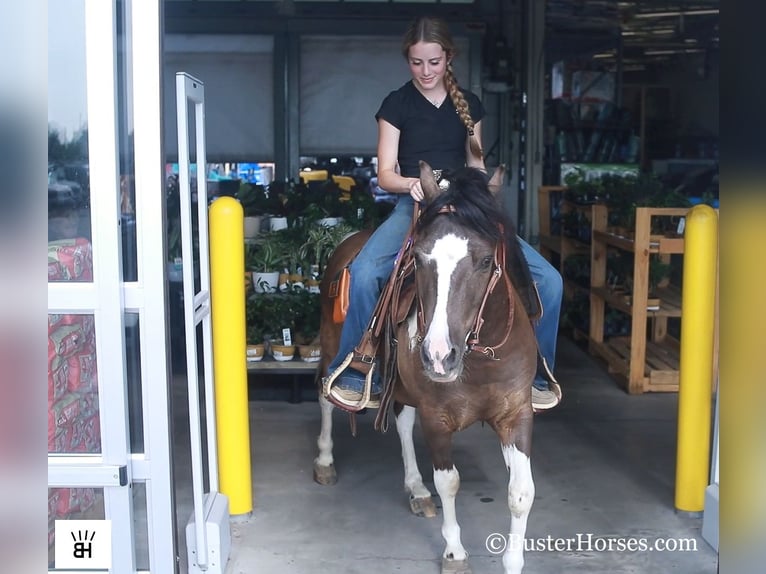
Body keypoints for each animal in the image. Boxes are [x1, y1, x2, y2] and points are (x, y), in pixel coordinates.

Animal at [312, 162, 540, 574]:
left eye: (486, 261)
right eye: (418, 259)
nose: (437, 356)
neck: (480, 358)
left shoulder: (517, 414)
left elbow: (521, 491)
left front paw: (513, 561)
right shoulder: (437, 417)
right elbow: (449, 483)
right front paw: (454, 552)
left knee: (402, 422)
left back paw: (416, 489)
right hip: (331, 347)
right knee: (325, 393)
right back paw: (324, 461)